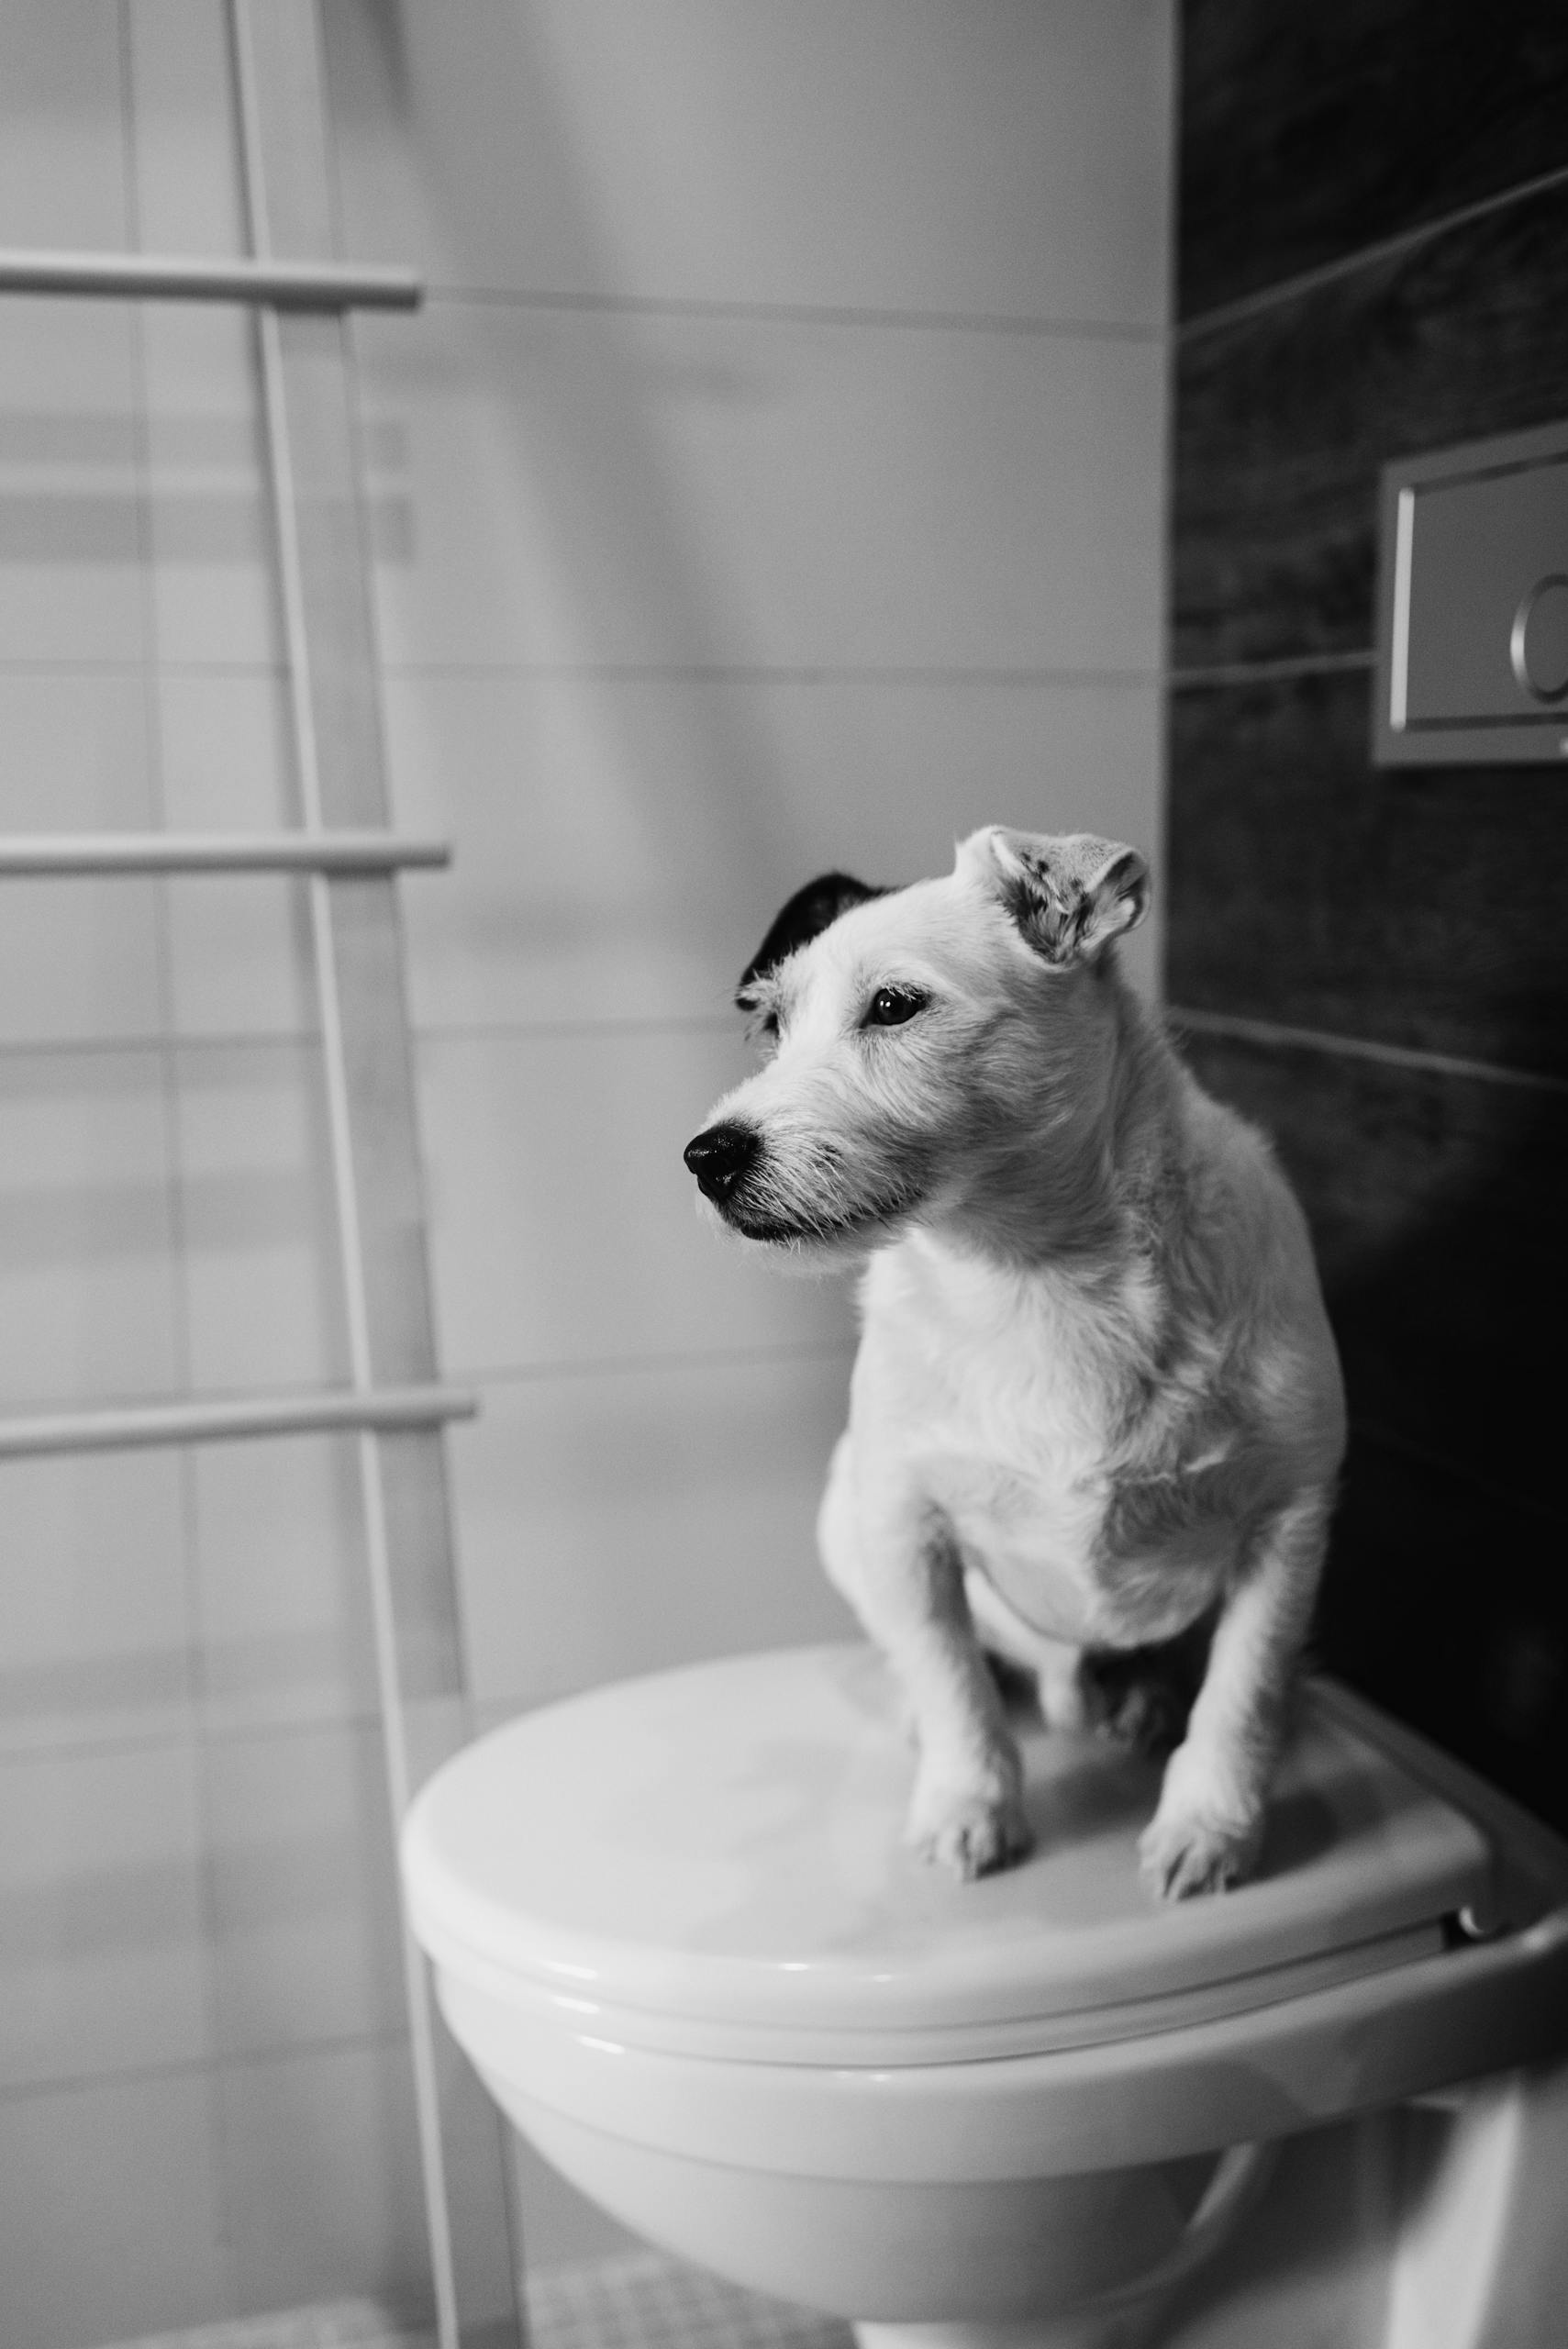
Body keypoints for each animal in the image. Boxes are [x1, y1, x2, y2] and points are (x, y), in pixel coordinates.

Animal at [685, 836, 1351, 1898]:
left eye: (894, 1006)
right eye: (774, 1023)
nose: (706, 1157)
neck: (1034, 1277)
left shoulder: (1285, 1527)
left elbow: (1239, 1692)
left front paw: (1211, 1825)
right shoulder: (903, 1524)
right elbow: (952, 1683)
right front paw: (969, 1804)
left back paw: (1152, 1697)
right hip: (845, 1513)